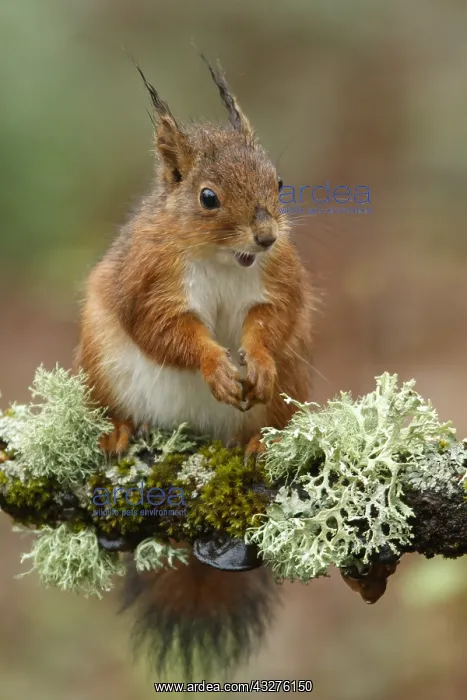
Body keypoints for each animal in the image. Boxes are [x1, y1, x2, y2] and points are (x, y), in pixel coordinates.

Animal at [73, 57, 315, 676]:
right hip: (102, 362)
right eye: (208, 197)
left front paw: (253, 362)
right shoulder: (148, 283)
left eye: (279, 183)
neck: (225, 258)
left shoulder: (278, 282)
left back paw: (259, 441)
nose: (267, 235)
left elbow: (269, 323)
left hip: (294, 380)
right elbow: (166, 332)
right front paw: (215, 366)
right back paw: (120, 429)